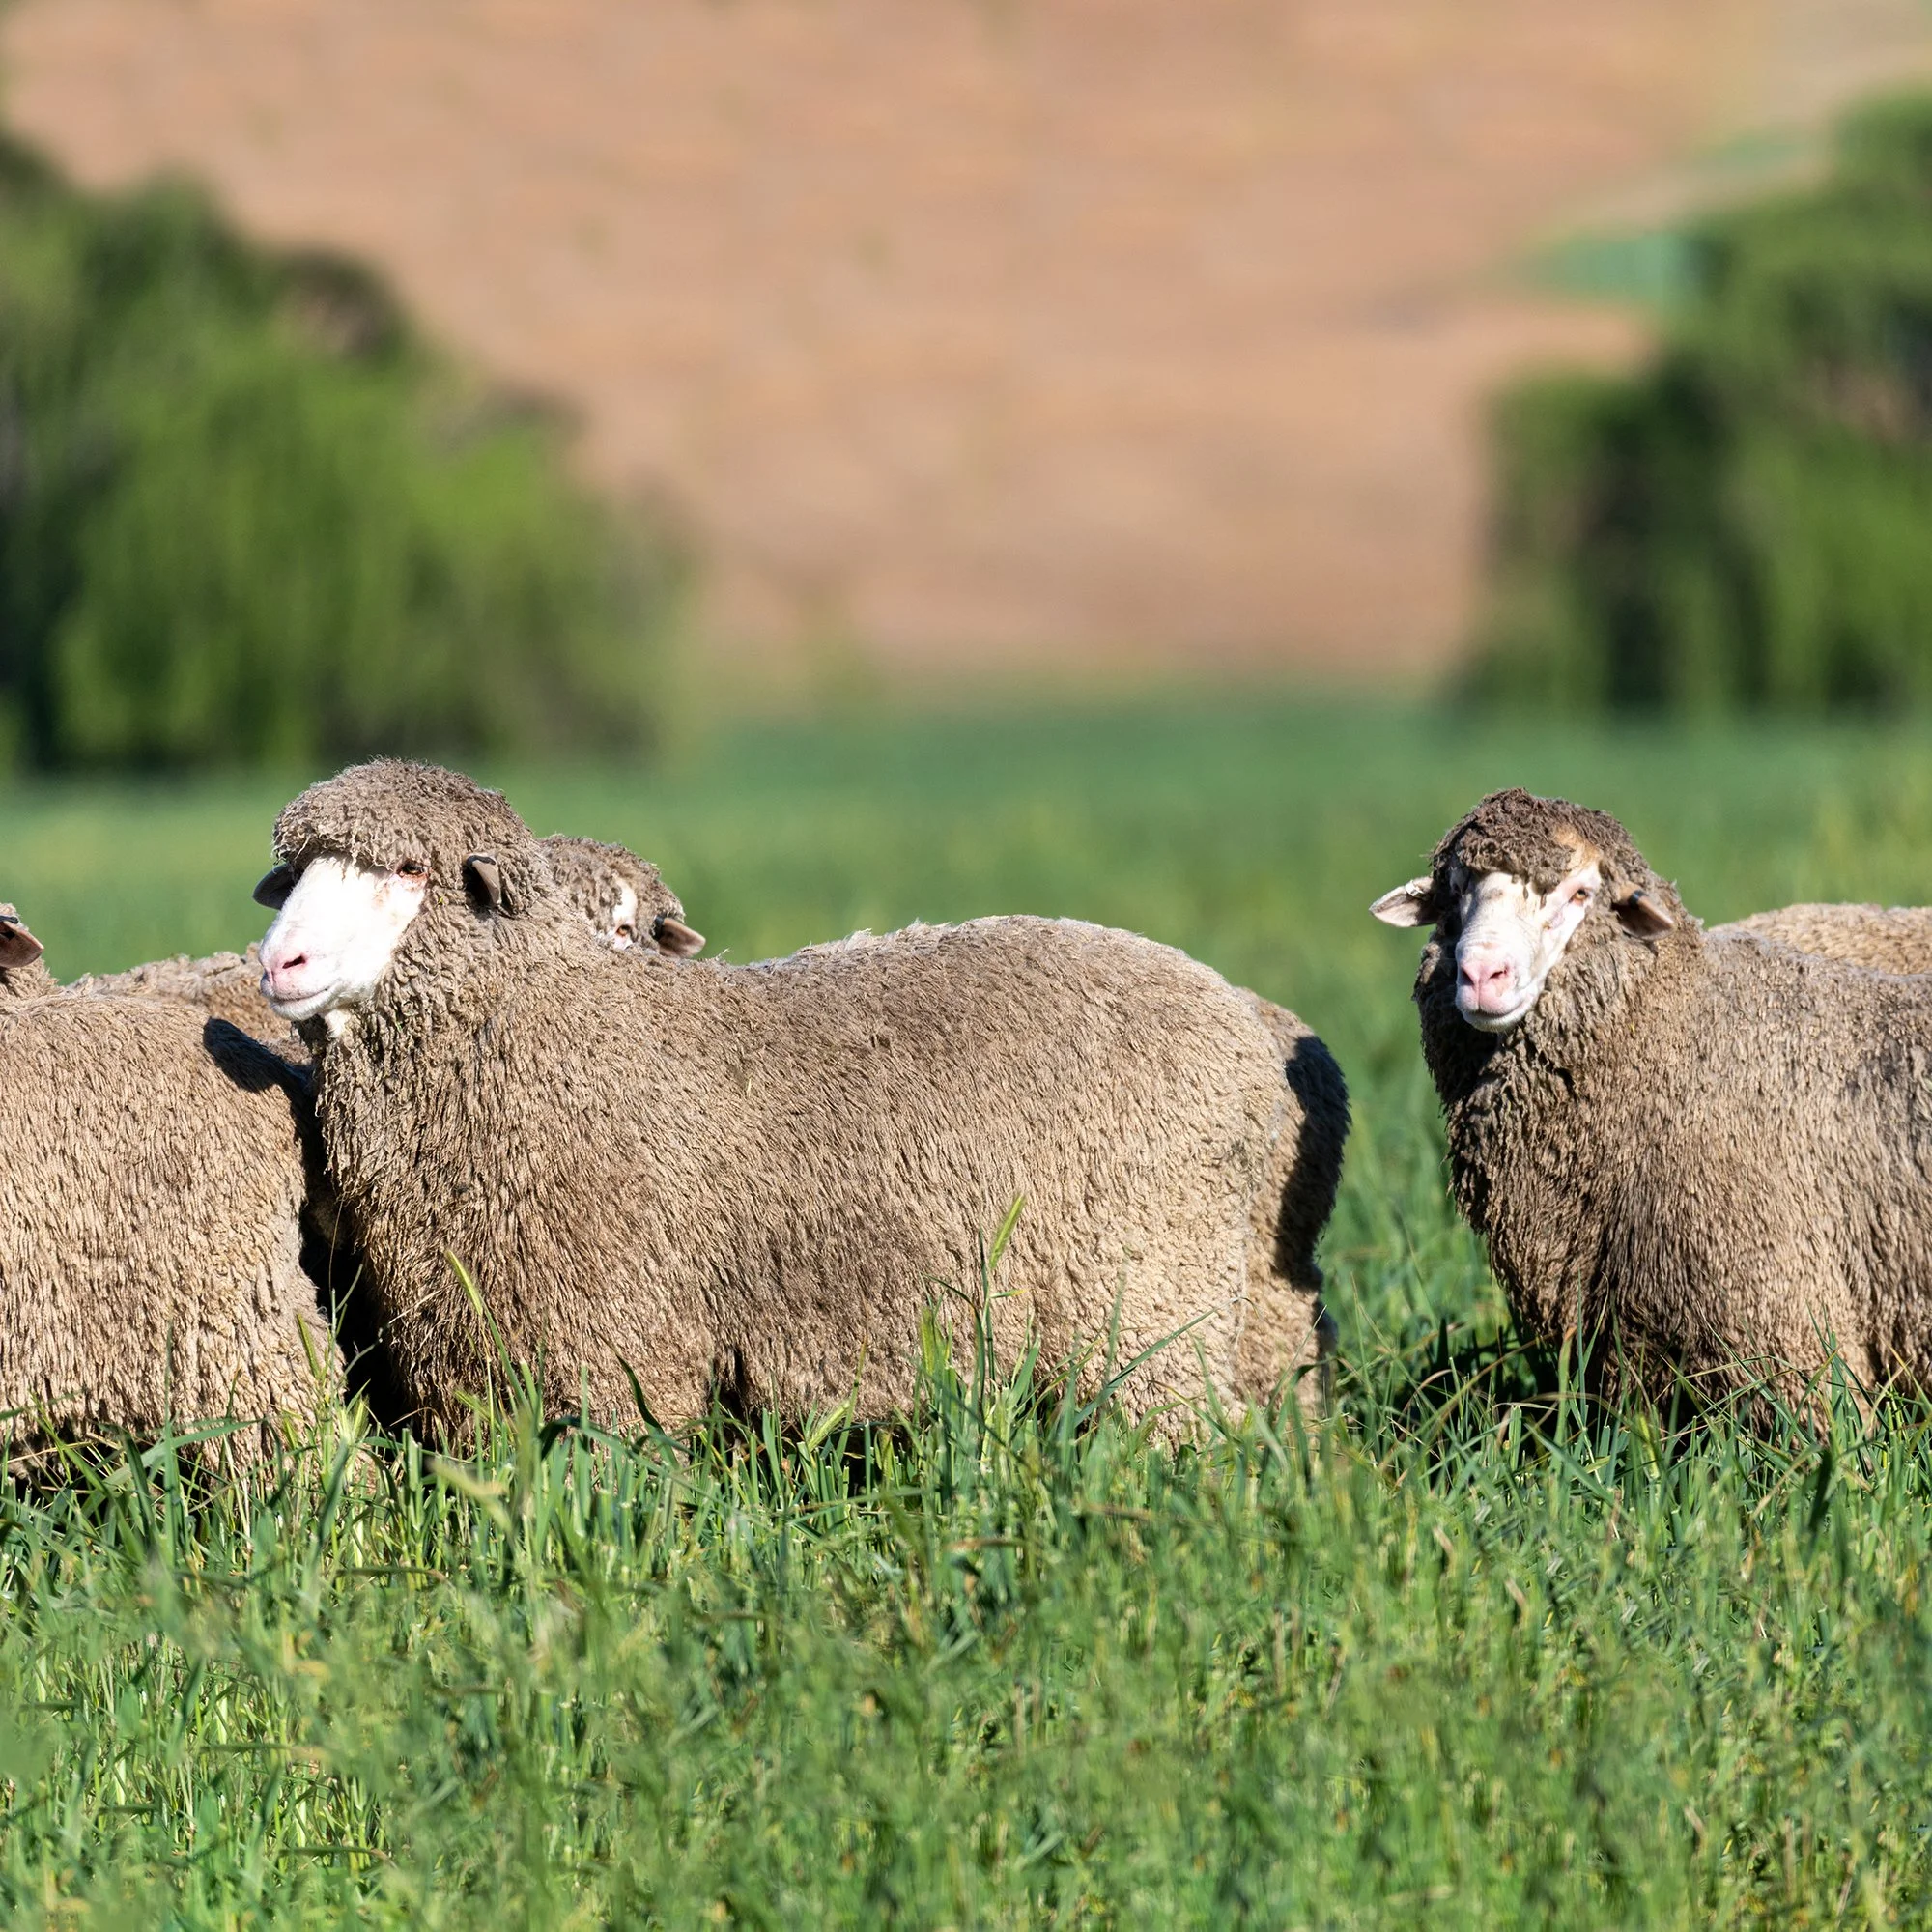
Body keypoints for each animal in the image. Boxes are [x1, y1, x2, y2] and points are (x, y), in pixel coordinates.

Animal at [255, 759, 1347, 1440]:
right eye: (296, 872)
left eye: (408, 870)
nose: (281, 962)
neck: (555, 1019)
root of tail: (1243, 1024)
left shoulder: (609, 1353)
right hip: (1244, 1302)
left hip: (1151, 1303)